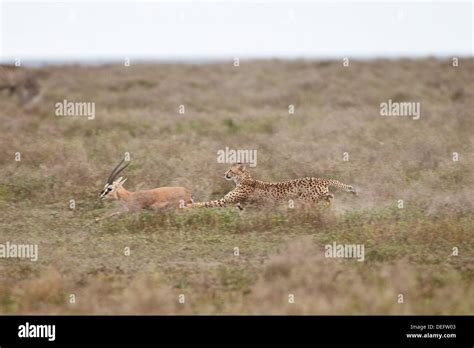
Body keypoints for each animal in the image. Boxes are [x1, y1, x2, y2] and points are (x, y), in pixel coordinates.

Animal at [189, 162, 356, 208]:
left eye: (230, 170)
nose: (225, 174)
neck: (244, 178)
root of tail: (320, 179)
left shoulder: (225, 201)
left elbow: (207, 203)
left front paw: (189, 206)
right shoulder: (242, 205)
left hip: (305, 199)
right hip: (317, 196)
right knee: (330, 196)